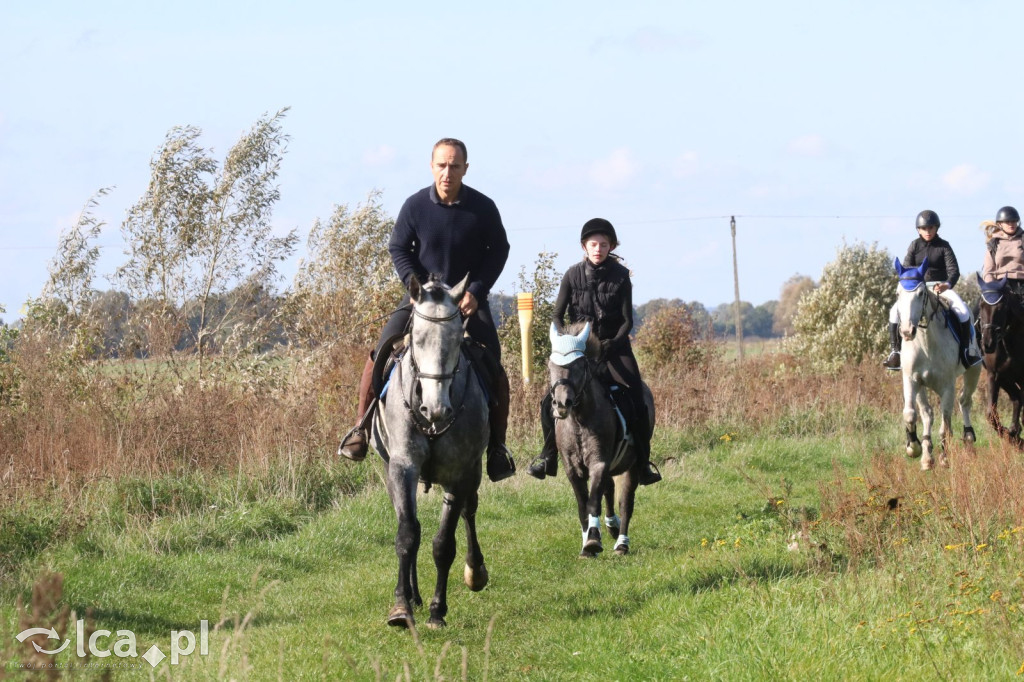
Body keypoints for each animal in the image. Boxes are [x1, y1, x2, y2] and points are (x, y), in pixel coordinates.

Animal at [368, 272, 491, 626]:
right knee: (410, 524)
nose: (435, 410)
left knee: (468, 512)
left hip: (474, 473)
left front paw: (438, 610)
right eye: (417, 339)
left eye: (457, 340)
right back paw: (413, 595)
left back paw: (475, 571)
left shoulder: (459, 473)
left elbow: (443, 543)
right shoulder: (402, 467)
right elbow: (408, 534)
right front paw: (401, 606)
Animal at [548, 321, 651, 557]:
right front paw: (587, 541)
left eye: (579, 365)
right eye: (550, 366)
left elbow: (593, 501)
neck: (579, 420)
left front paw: (593, 541)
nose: (561, 404)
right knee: (610, 489)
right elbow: (582, 505)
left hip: (633, 465)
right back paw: (611, 526)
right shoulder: (572, 469)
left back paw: (621, 543)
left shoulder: (599, 462)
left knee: (626, 502)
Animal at [897, 258, 983, 471]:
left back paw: (968, 436)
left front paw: (944, 458)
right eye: (898, 293)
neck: (927, 343)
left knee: (964, 402)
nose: (907, 331)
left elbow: (945, 426)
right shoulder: (912, 380)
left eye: (920, 293)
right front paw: (914, 448)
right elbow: (910, 414)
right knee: (927, 414)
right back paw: (927, 456)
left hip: (973, 372)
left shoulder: (947, 387)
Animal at [974, 272, 1024, 446]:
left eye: (1001, 307)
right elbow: (991, 415)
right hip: (1006, 379)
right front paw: (1012, 434)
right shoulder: (994, 375)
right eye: (982, 305)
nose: (988, 343)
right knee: (1016, 398)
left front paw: (1014, 433)